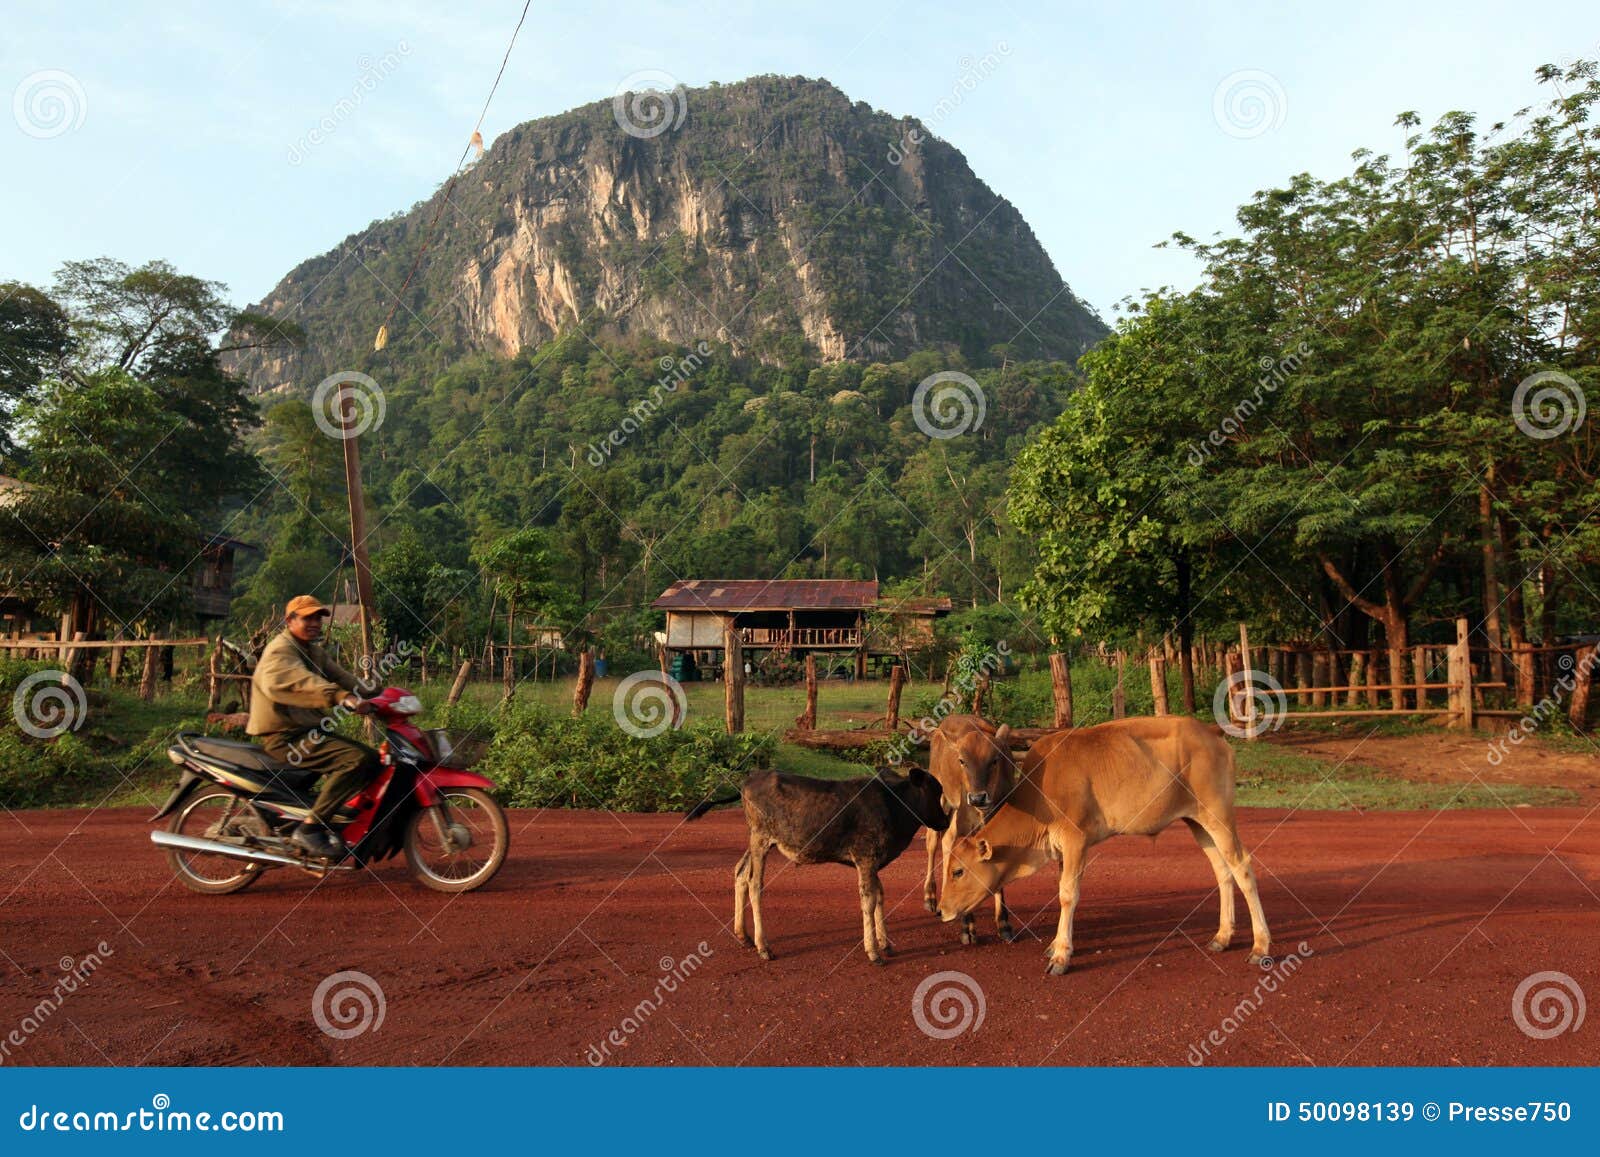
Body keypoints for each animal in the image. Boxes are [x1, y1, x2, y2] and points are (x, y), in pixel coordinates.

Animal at [921, 713, 1017, 947]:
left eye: (994, 760)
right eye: (962, 761)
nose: (977, 798)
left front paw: (1004, 924)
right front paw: (967, 927)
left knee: (946, 842)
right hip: (942, 802)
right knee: (933, 842)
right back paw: (931, 897)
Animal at [934, 720, 1267, 972]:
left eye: (958, 872)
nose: (940, 910)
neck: (1041, 788)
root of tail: (1211, 732)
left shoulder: (1075, 840)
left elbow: (1067, 894)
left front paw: (1061, 954)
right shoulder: (1062, 849)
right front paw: (1056, 944)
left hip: (1218, 816)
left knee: (1242, 867)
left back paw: (1261, 946)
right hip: (1198, 822)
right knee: (1222, 871)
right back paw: (1223, 936)